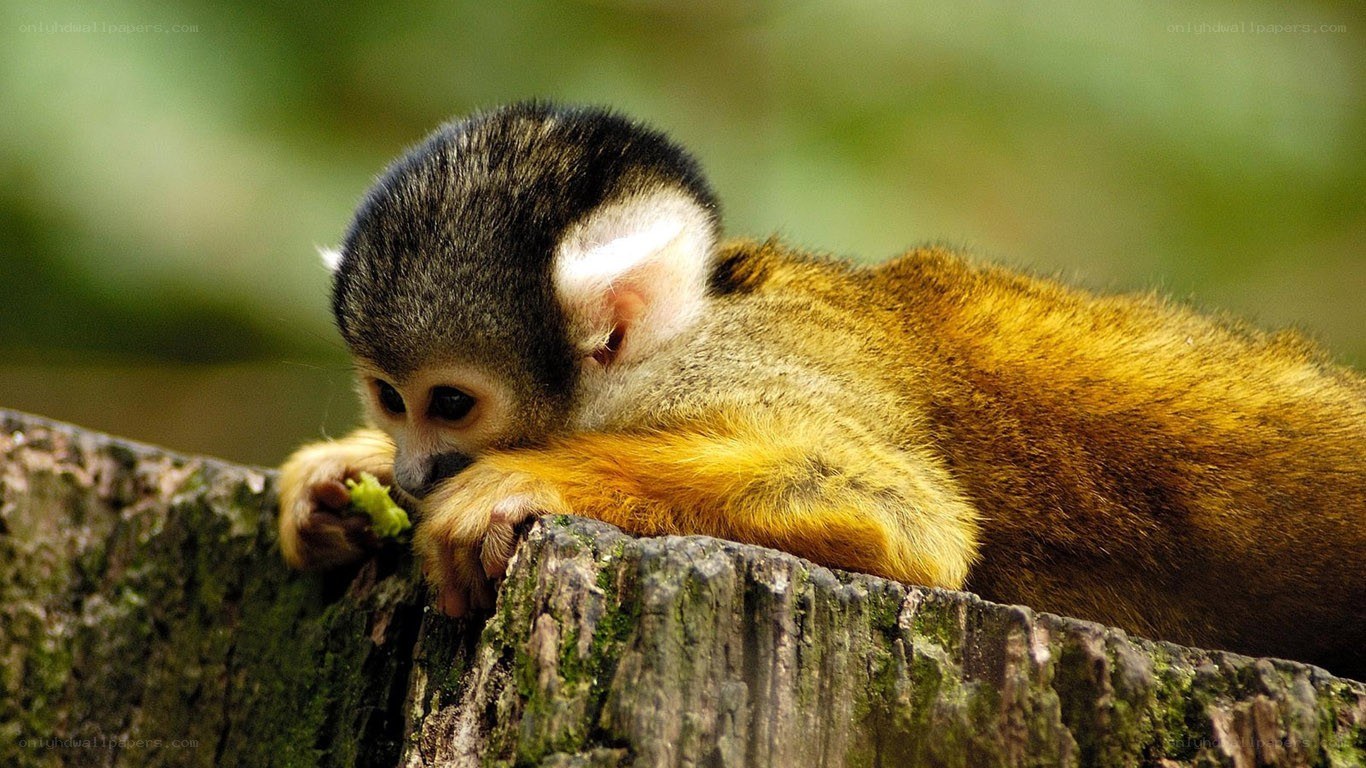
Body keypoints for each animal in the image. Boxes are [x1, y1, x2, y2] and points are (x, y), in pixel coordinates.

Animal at [277, 102, 1366, 680]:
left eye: (450, 403)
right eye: (388, 398)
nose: (414, 472)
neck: (681, 336)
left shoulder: (736, 371)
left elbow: (902, 518)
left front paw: (519, 485)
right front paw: (338, 480)